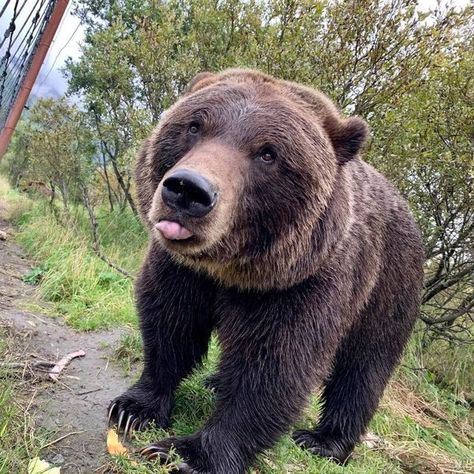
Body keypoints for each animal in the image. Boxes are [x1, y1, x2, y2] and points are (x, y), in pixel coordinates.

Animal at [108, 68, 426, 472]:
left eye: (268, 153)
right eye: (195, 126)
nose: (188, 189)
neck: (229, 270)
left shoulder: (301, 285)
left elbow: (274, 368)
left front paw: (187, 453)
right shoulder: (183, 271)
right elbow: (170, 323)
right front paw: (134, 407)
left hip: (388, 289)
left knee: (363, 369)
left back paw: (324, 440)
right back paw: (215, 382)